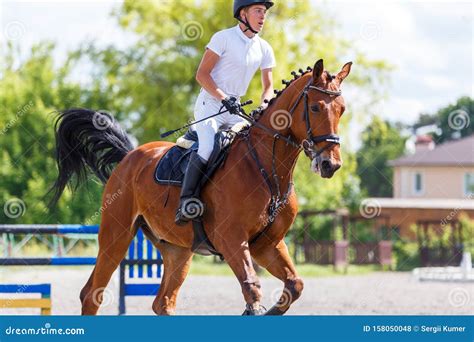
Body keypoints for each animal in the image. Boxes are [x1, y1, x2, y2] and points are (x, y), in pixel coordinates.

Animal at [49, 58, 352, 316]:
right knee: (92, 294)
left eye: (342, 109)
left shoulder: (268, 245)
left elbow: (294, 285)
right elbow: (252, 289)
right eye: (315, 108)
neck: (267, 168)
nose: (330, 164)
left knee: (163, 302)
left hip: (177, 250)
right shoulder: (232, 240)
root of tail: (129, 156)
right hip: (116, 234)